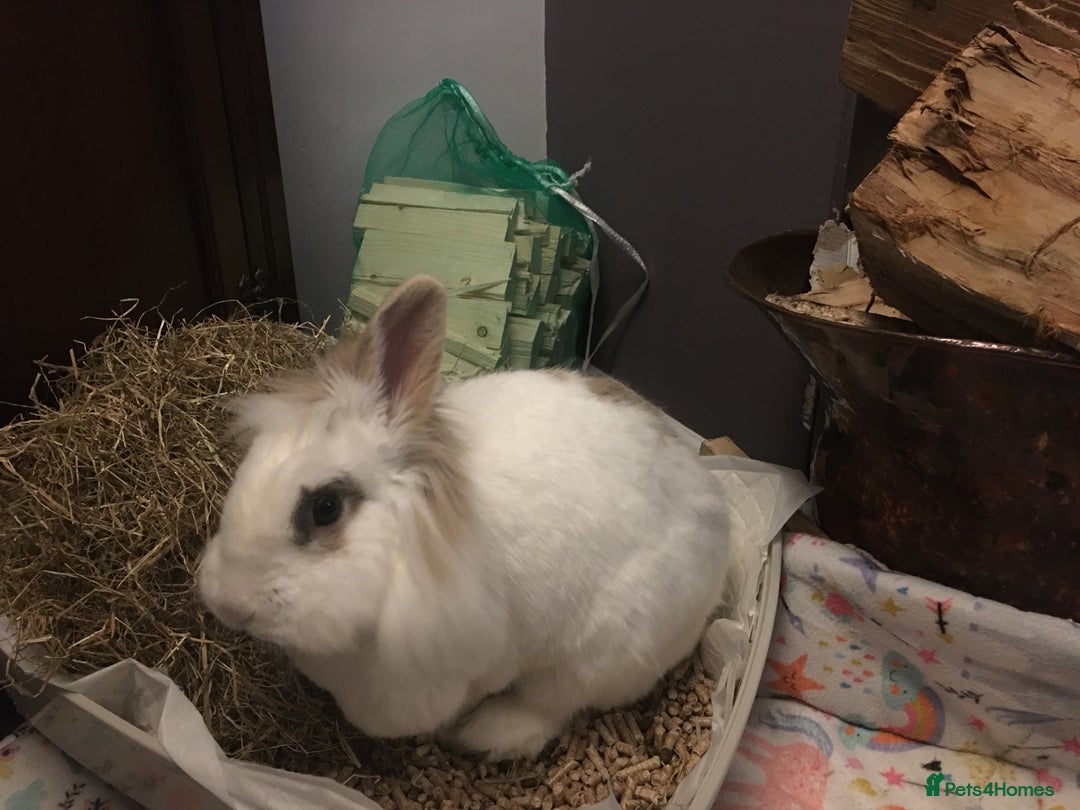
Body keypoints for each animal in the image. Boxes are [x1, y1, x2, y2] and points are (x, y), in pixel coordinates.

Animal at [196, 273, 735, 761]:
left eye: (325, 507)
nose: (227, 604)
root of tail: (718, 517)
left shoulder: (481, 666)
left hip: (600, 655)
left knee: (552, 706)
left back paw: (485, 735)